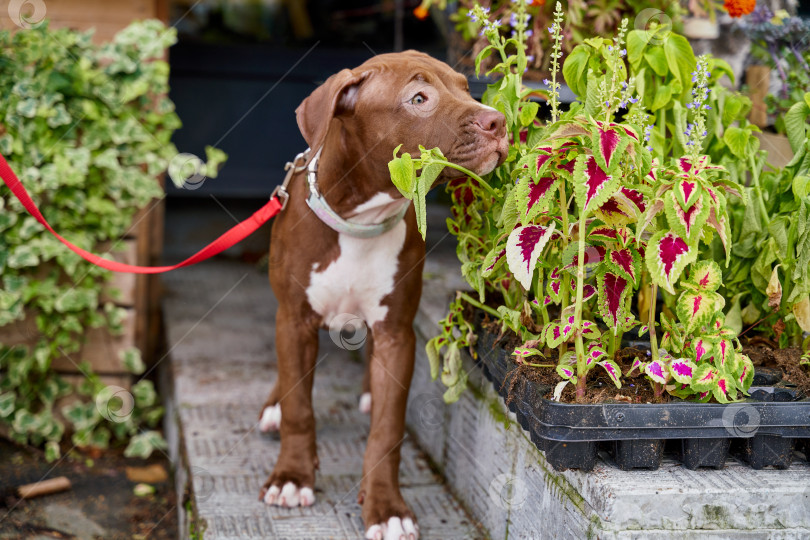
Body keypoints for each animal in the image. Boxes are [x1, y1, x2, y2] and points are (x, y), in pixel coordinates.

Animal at [258, 49, 504, 536]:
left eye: (465, 88)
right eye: (419, 98)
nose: (498, 121)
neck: (361, 221)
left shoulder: (397, 333)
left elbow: (388, 428)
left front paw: (386, 507)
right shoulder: (294, 319)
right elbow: (299, 406)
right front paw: (293, 476)